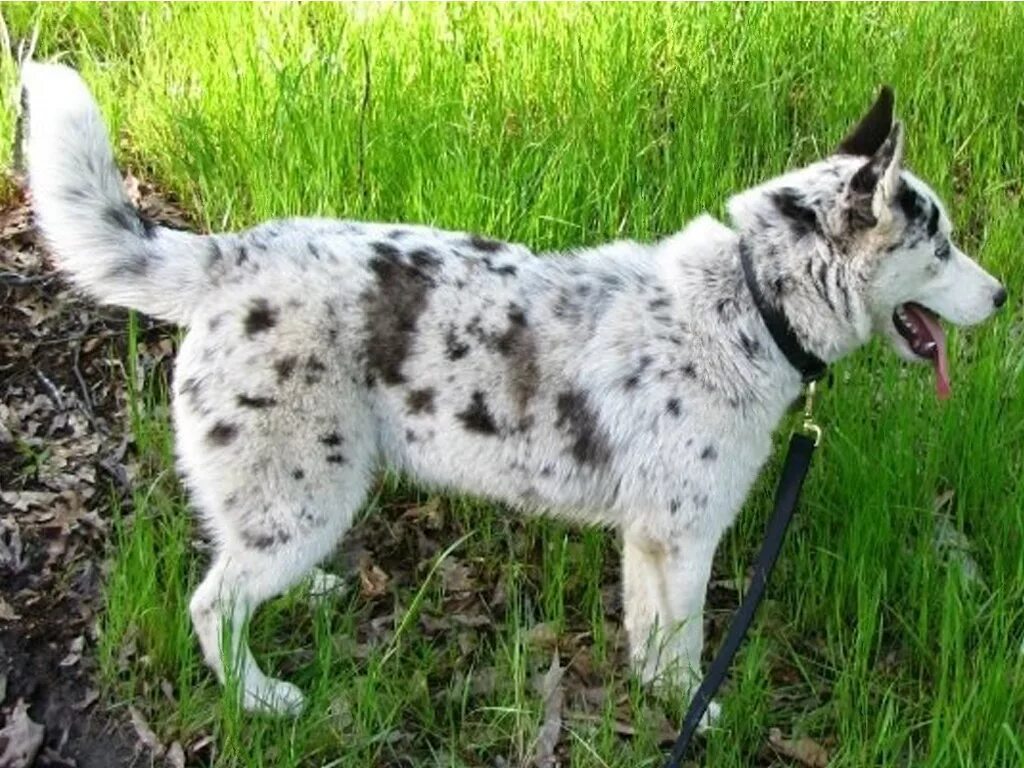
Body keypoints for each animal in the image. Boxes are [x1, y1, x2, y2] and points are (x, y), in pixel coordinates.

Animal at [18, 61, 1007, 720]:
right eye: (941, 246)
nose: (1001, 296)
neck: (750, 299)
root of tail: (228, 257)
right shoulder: (686, 537)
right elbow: (689, 643)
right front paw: (696, 714)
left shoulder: (650, 540)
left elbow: (652, 638)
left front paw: (662, 702)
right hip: (302, 495)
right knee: (212, 604)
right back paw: (261, 699)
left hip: (294, 504)